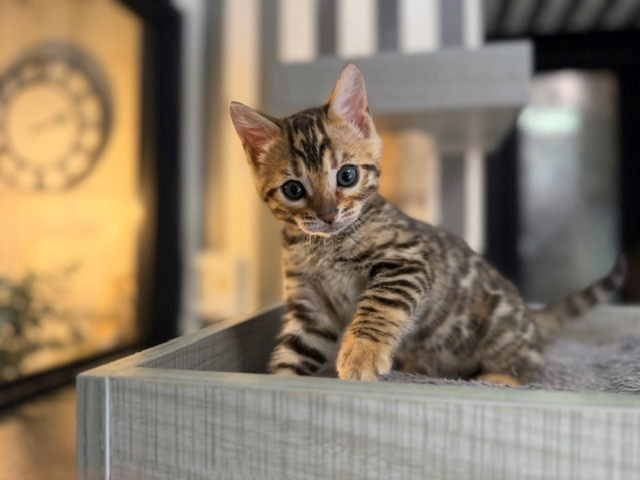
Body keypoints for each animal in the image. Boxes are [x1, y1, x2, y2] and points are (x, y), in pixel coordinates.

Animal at [229, 63, 626, 385]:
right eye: (294, 189)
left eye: (347, 175)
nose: (327, 214)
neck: (326, 246)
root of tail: (532, 316)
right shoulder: (310, 308)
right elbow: (296, 351)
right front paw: (279, 383)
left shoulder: (408, 260)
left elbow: (379, 304)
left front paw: (361, 354)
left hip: (500, 328)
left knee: (533, 364)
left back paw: (500, 379)